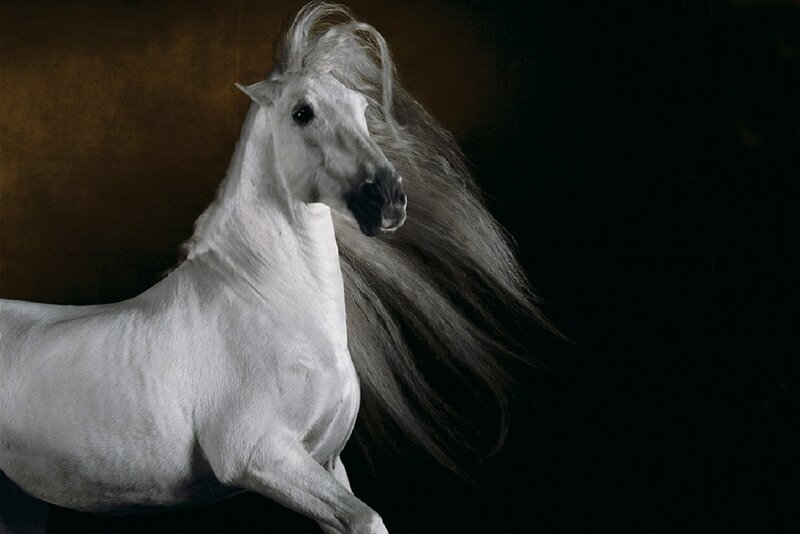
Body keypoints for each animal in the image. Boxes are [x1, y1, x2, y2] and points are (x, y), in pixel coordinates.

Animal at [0, 2, 544, 532]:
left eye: (363, 109)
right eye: (302, 112)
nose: (387, 199)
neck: (269, 303)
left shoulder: (325, 464)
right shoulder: (260, 457)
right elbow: (367, 519)